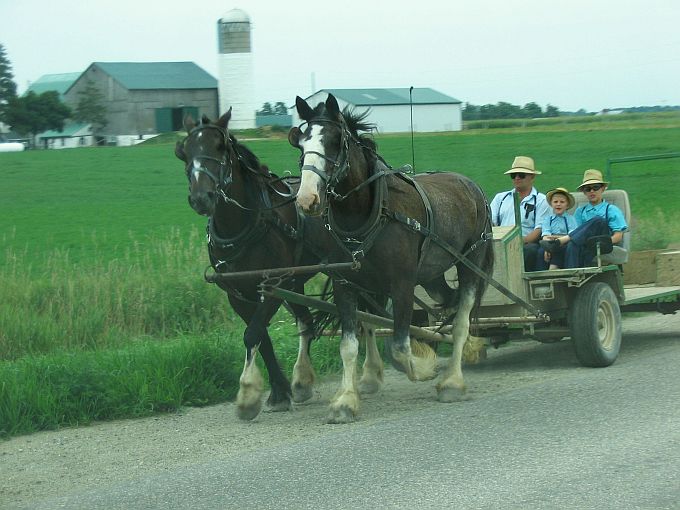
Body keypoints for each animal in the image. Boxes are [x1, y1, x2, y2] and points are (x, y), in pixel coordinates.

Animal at [175, 109, 388, 420]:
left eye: (220, 147)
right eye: (184, 151)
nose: (201, 198)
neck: (247, 223)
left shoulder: (273, 284)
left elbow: (252, 333)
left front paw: (249, 394)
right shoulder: (237, 294)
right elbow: (261, 337)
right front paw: (279, 391)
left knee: (370, 317)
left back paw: (371, 374)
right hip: (297, 281)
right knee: (307, 322)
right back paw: (302, 381)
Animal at [288, 94, 494, 422]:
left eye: (334, 141)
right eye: (301, 142)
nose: (307, 199)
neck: (370, 213)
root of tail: (472, 186)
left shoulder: (402, 285)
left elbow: (399, 348)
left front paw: (424, 366)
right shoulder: (346, 284)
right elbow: (349, 344)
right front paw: (345, 401)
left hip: (470, 262)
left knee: (462, 318)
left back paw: (452, 380)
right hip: (433, 275)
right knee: (449, 303)